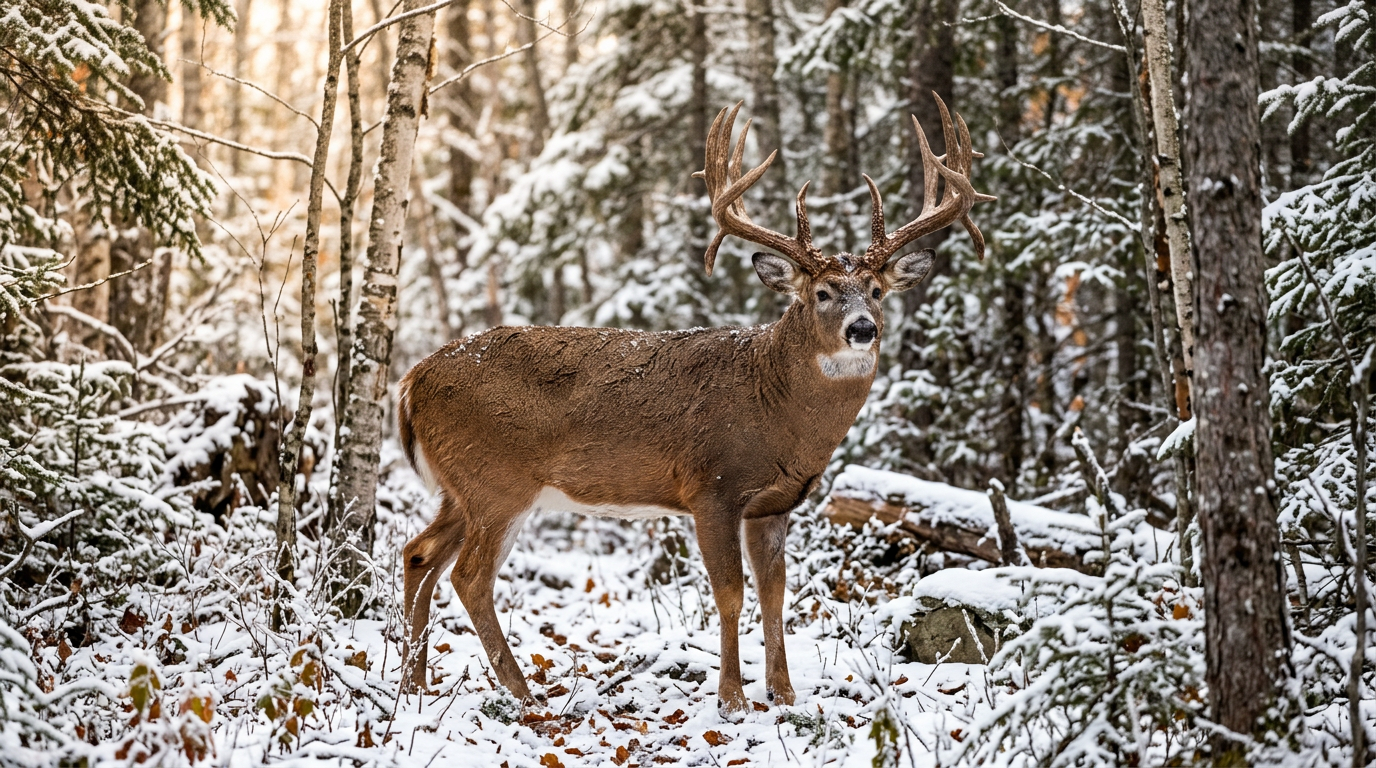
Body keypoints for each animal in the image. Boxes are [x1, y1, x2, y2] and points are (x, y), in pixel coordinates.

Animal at [397, 95, 994, 712]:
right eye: (822, 292)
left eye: (876, 290)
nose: (862, 329)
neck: (774, 406)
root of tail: (413, 378)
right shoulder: (712, 486)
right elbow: (729, 592)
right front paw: (732, 696)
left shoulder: (774, 503)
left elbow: (776, 594)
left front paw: (784, 693)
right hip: (497, 481)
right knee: (469, 576)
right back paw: (521, 691)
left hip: (460, 486)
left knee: (418, 553)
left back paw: (415, 685)